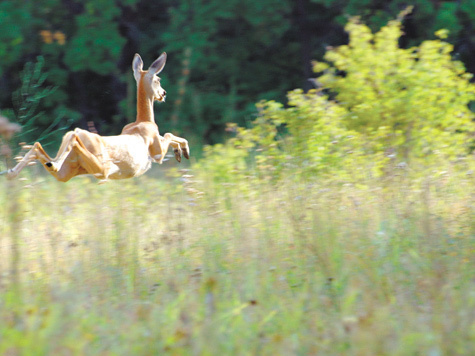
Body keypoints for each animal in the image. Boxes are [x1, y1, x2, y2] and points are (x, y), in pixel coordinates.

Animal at [0, 52, 190, 184]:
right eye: (158, 78)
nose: (163, 94)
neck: (144, 121)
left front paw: (180, 152)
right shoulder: (157, 152)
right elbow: (168, 135)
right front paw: (184, 151)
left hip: (70, 171)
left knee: (41, 148)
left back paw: (11, 172)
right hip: (102, 167)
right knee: (73, 137)